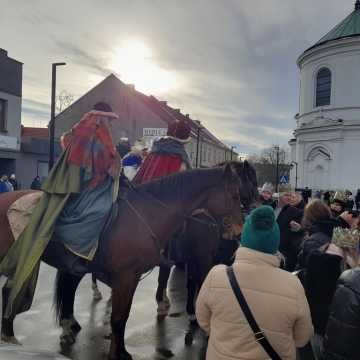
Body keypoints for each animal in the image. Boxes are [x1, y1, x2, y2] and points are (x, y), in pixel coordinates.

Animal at [0, 163, 256, 360]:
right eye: (236, 193)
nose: (239, 228)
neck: (148, 214)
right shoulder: (131, 277)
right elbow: (118, 318)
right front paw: (117, 353)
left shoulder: (134, 277)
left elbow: (123, 316)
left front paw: (122, 349)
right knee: (12, 290)